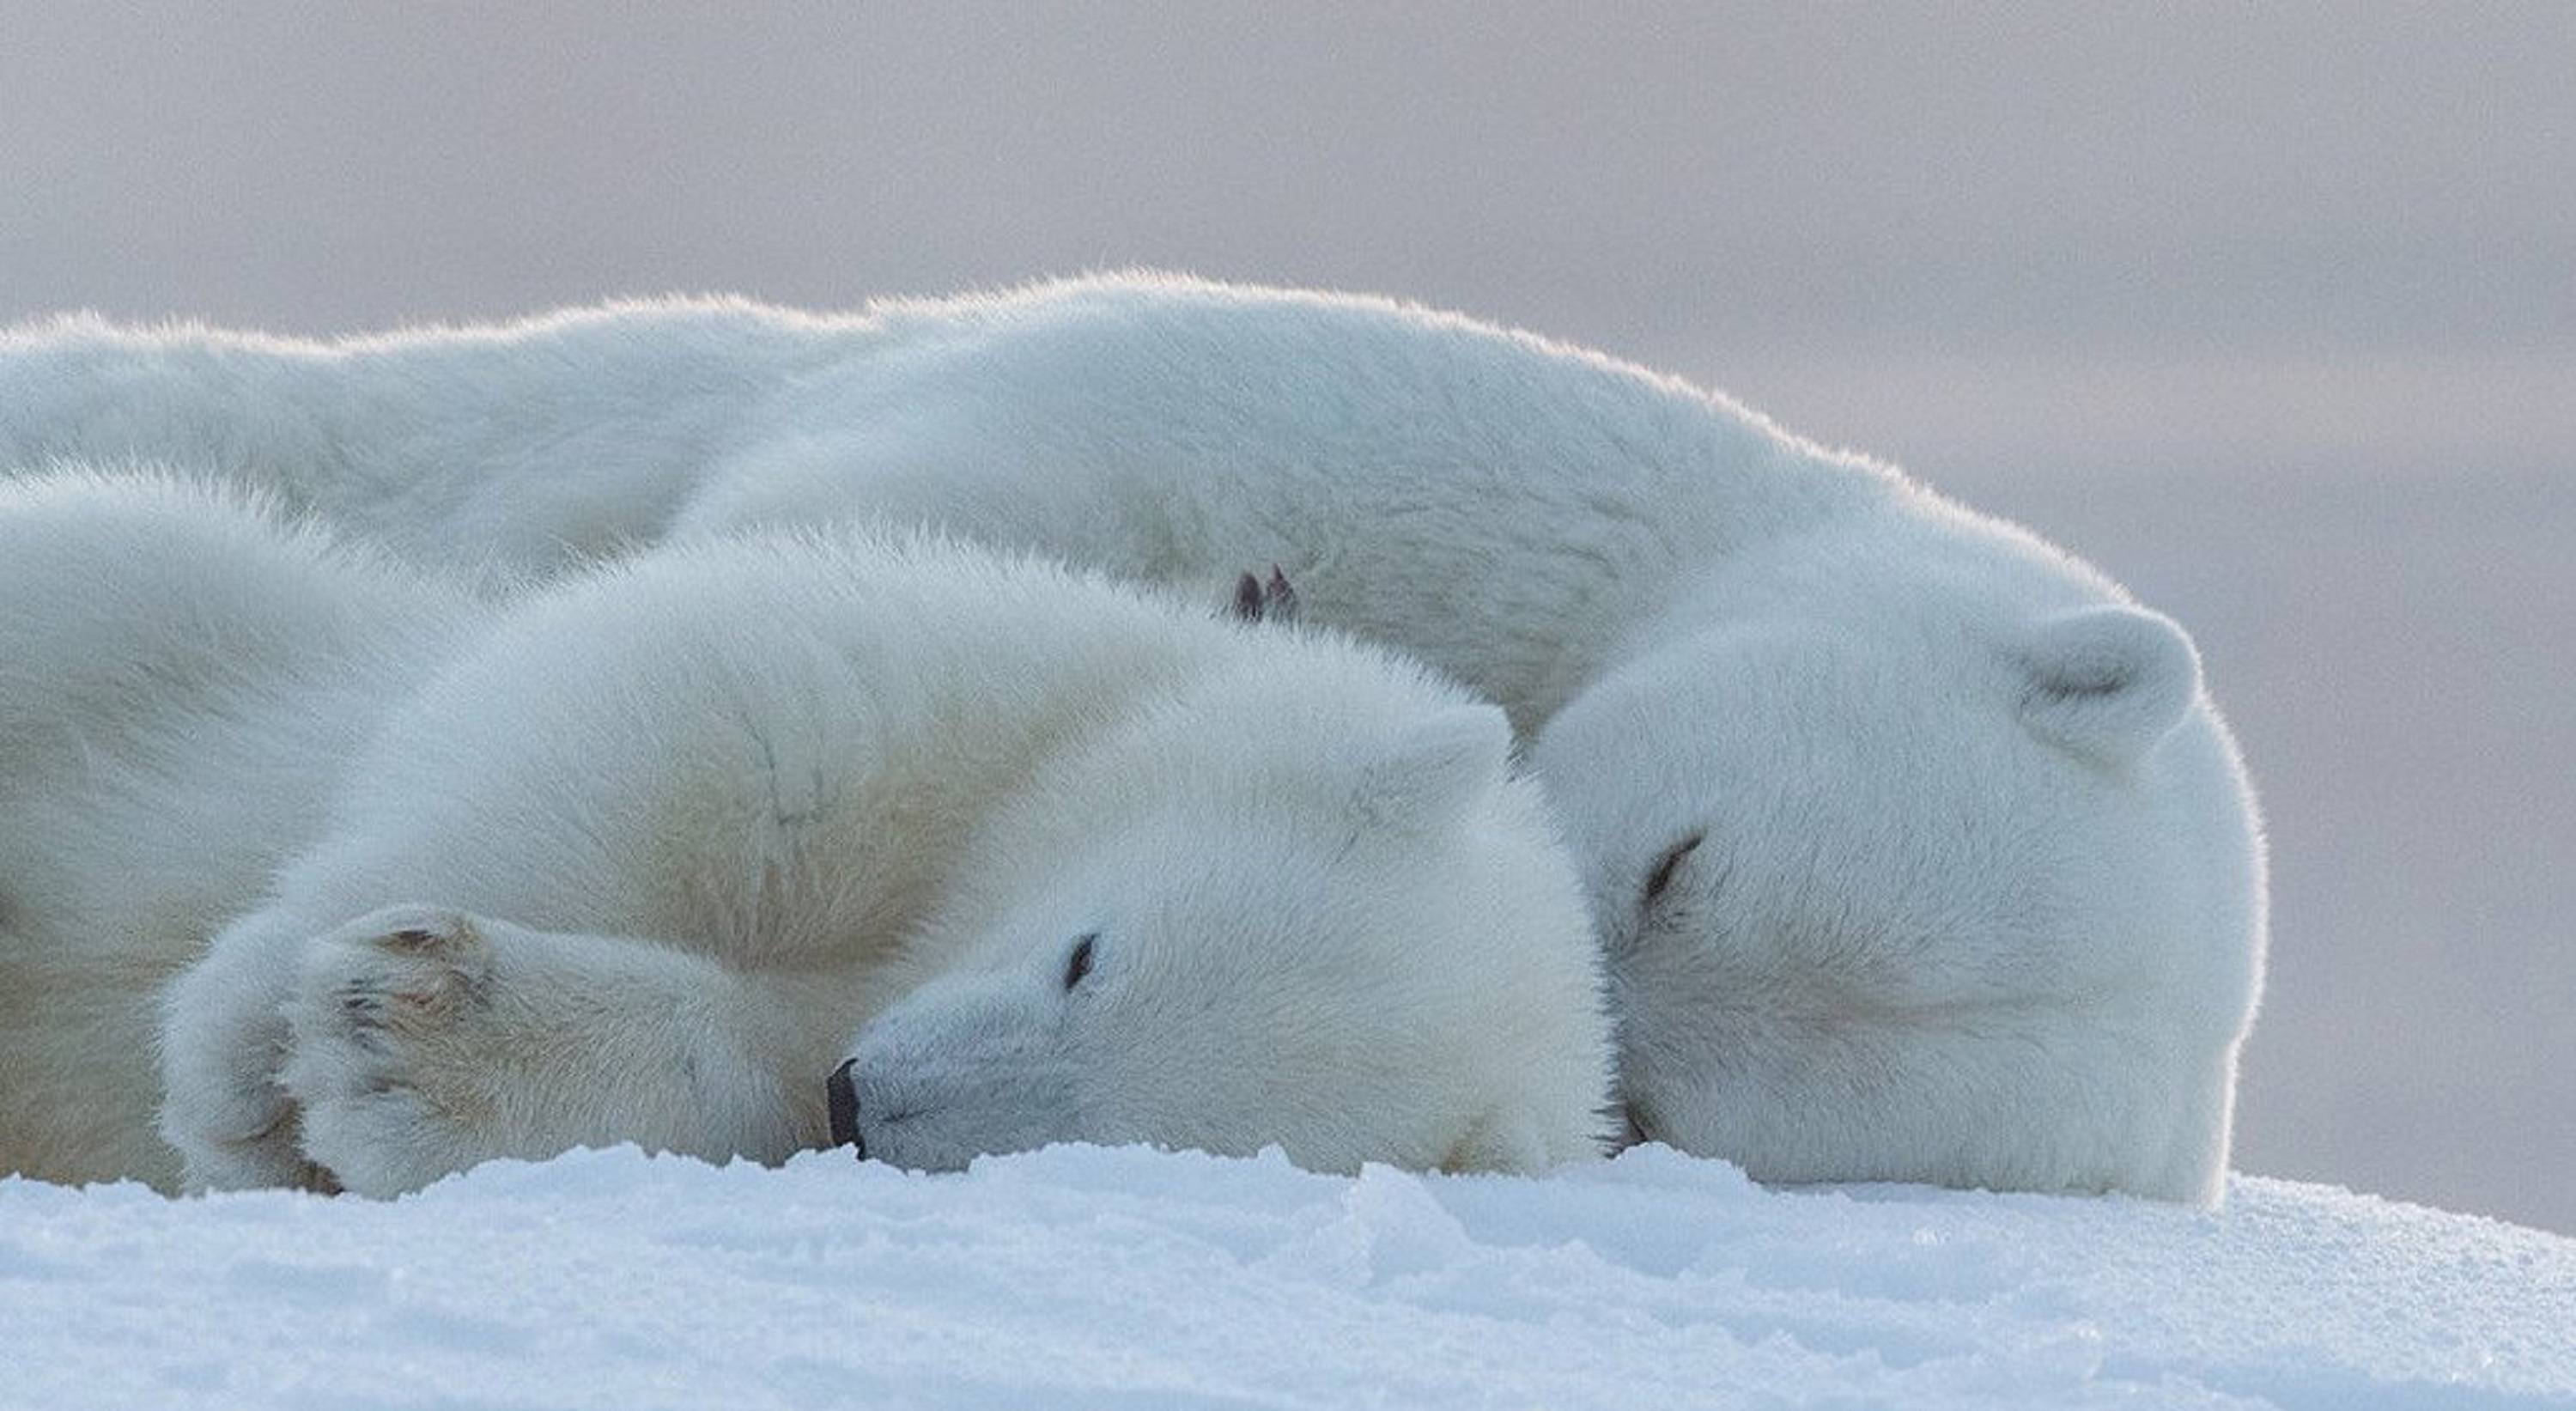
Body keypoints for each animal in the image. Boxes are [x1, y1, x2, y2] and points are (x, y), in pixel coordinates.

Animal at [0, 473, 1607, 1189]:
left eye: (1112, 1134)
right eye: (1088, 954)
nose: (865, 1094)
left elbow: (711, 1081)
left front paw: (395, 1048)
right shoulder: (974, 697)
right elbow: (668, 729)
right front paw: (240, 1051)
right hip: (170, 606)